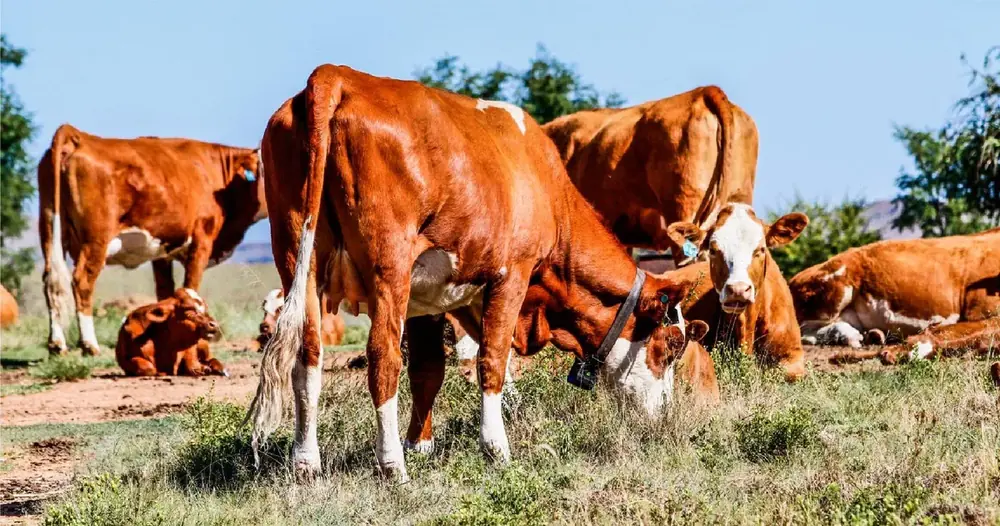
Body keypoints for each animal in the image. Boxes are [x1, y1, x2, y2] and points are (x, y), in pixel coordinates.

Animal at [38, 124, 266, 356]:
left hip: (49, 227)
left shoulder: (162, 251)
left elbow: (165, 292)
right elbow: (191, 288)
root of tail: (78, 135)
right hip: (96, 240)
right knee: (82, 281)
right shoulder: (202, 240)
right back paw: (90, 345)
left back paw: (57, 345)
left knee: (51, 282)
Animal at [248, 65, 695, 482]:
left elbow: (428, 370)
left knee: (307, 355)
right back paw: (392, 467)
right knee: (384, 358)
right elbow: (492, 361)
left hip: (297, 259)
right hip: (389, 266)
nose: (667, 414)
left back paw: (306, 463)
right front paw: (496, 448)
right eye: (670, 346)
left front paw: (421, 445)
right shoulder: (510, 276)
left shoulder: (427, 299)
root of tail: (339, 75)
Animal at [789, 228, 1000, 348]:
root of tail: (793, 279)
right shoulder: (979, 309)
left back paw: (872, 335)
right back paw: (848, 336)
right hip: (836, 285)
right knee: (801, 329)